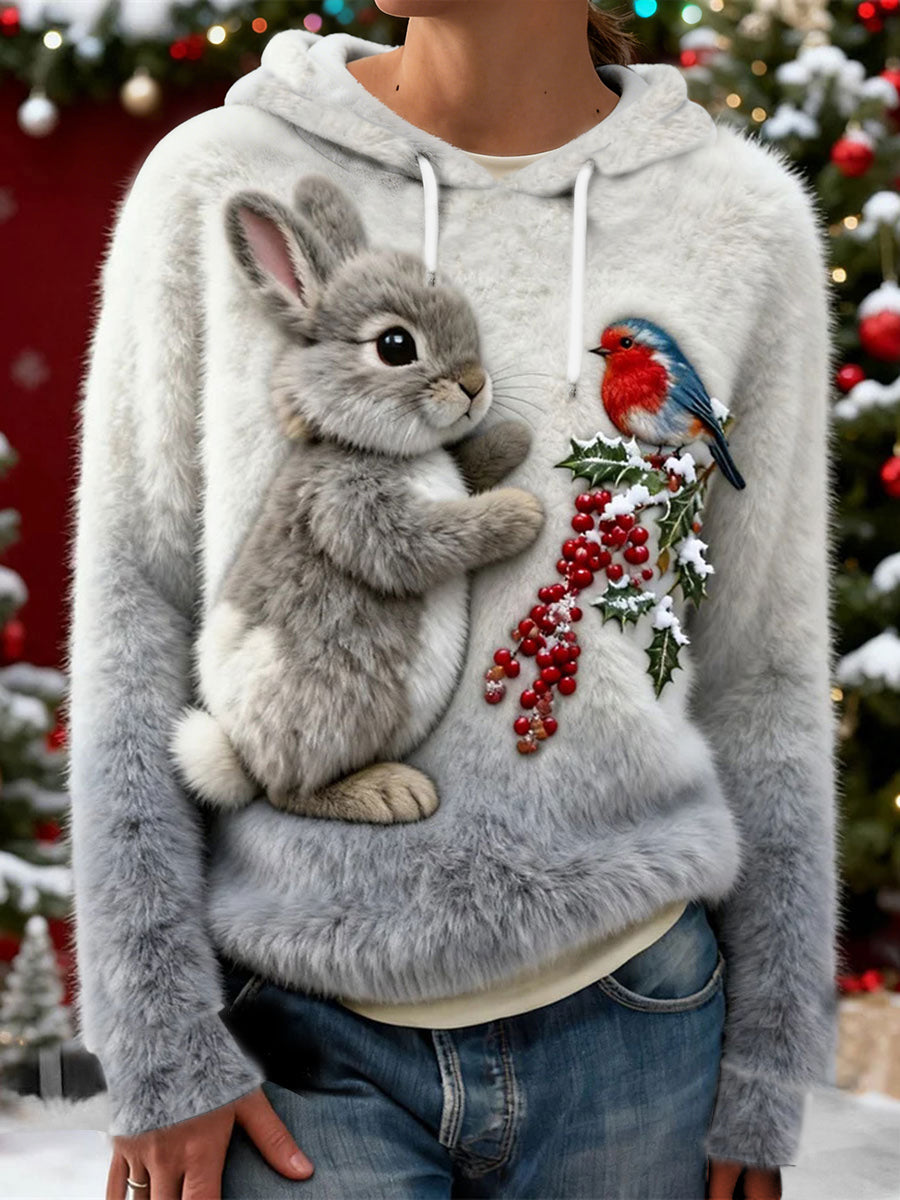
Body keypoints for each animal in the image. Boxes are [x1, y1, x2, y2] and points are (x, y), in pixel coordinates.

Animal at [169, 174, 545, 825]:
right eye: (395, 345)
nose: (476, 385)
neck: (383, 451)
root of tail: (242, 757)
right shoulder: (345, 507)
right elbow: (426, 541)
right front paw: (521, 513)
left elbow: (466, 467)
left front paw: (512, 439)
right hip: (331, 705)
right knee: (289, 793)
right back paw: (393, 793)